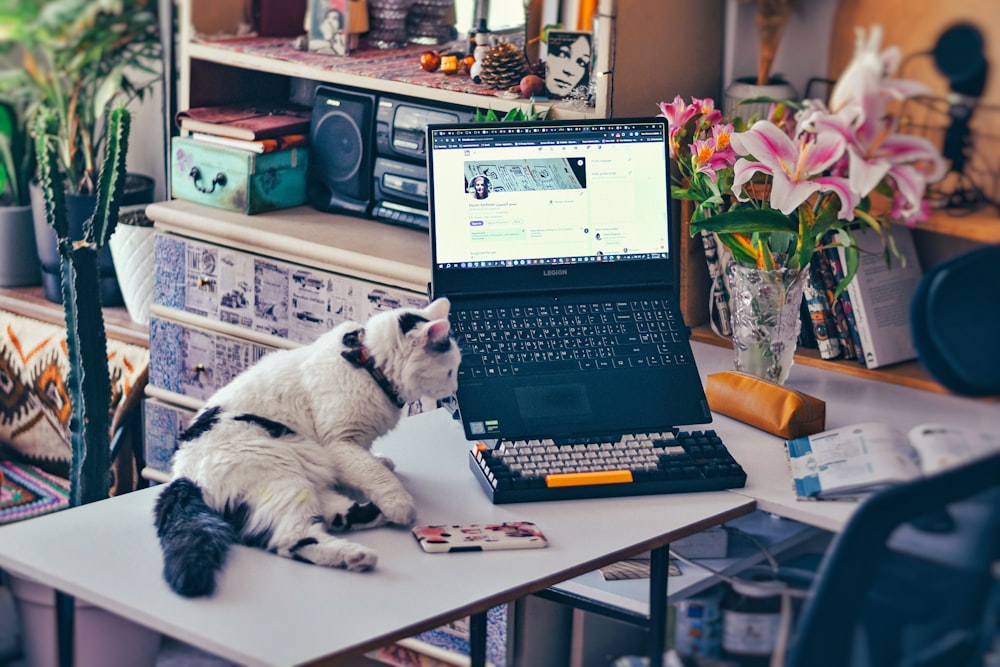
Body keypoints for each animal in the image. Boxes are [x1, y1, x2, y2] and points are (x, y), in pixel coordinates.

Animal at [153, 300, 460, 596]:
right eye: (450, 371)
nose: (455, 389)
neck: (369, 365)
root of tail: (182, 476)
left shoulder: (354, 443)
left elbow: (368, 462)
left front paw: (381, 461)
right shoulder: (340, 443)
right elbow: (371, 472)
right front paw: (398, 500)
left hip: (304, 477)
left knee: (331, 514)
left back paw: (374, 518)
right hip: (282, 475)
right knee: (292, 539)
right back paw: (360, 554)